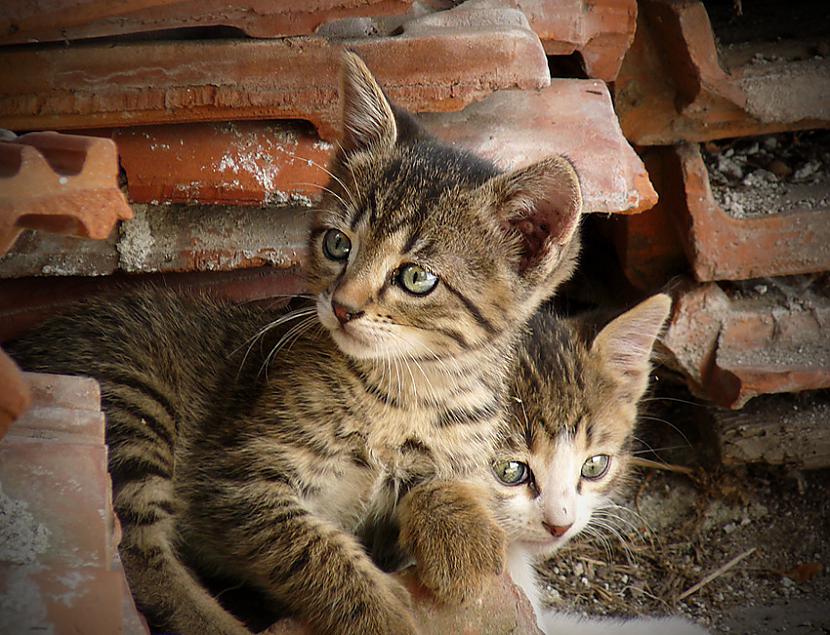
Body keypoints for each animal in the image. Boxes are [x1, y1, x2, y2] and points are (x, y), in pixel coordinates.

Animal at [8, 54, 584, 635]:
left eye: (416, 277)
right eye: (338, 244)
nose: (342, 307)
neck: (407, 390)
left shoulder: (460, 451)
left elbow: (444, 480)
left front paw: (465, 538)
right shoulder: (237, 480)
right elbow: (314, 551)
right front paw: (385, 617)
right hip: (130, 399)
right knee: (136, 553)